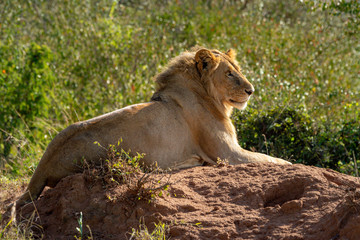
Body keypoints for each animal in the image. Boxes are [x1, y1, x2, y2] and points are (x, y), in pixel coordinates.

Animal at [14, 47, 290, 208]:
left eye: (238, 70)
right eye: (229, 74)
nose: (251, 90)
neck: (204, 92)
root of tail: (43, 163)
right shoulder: (227, 154)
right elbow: (275, 160)